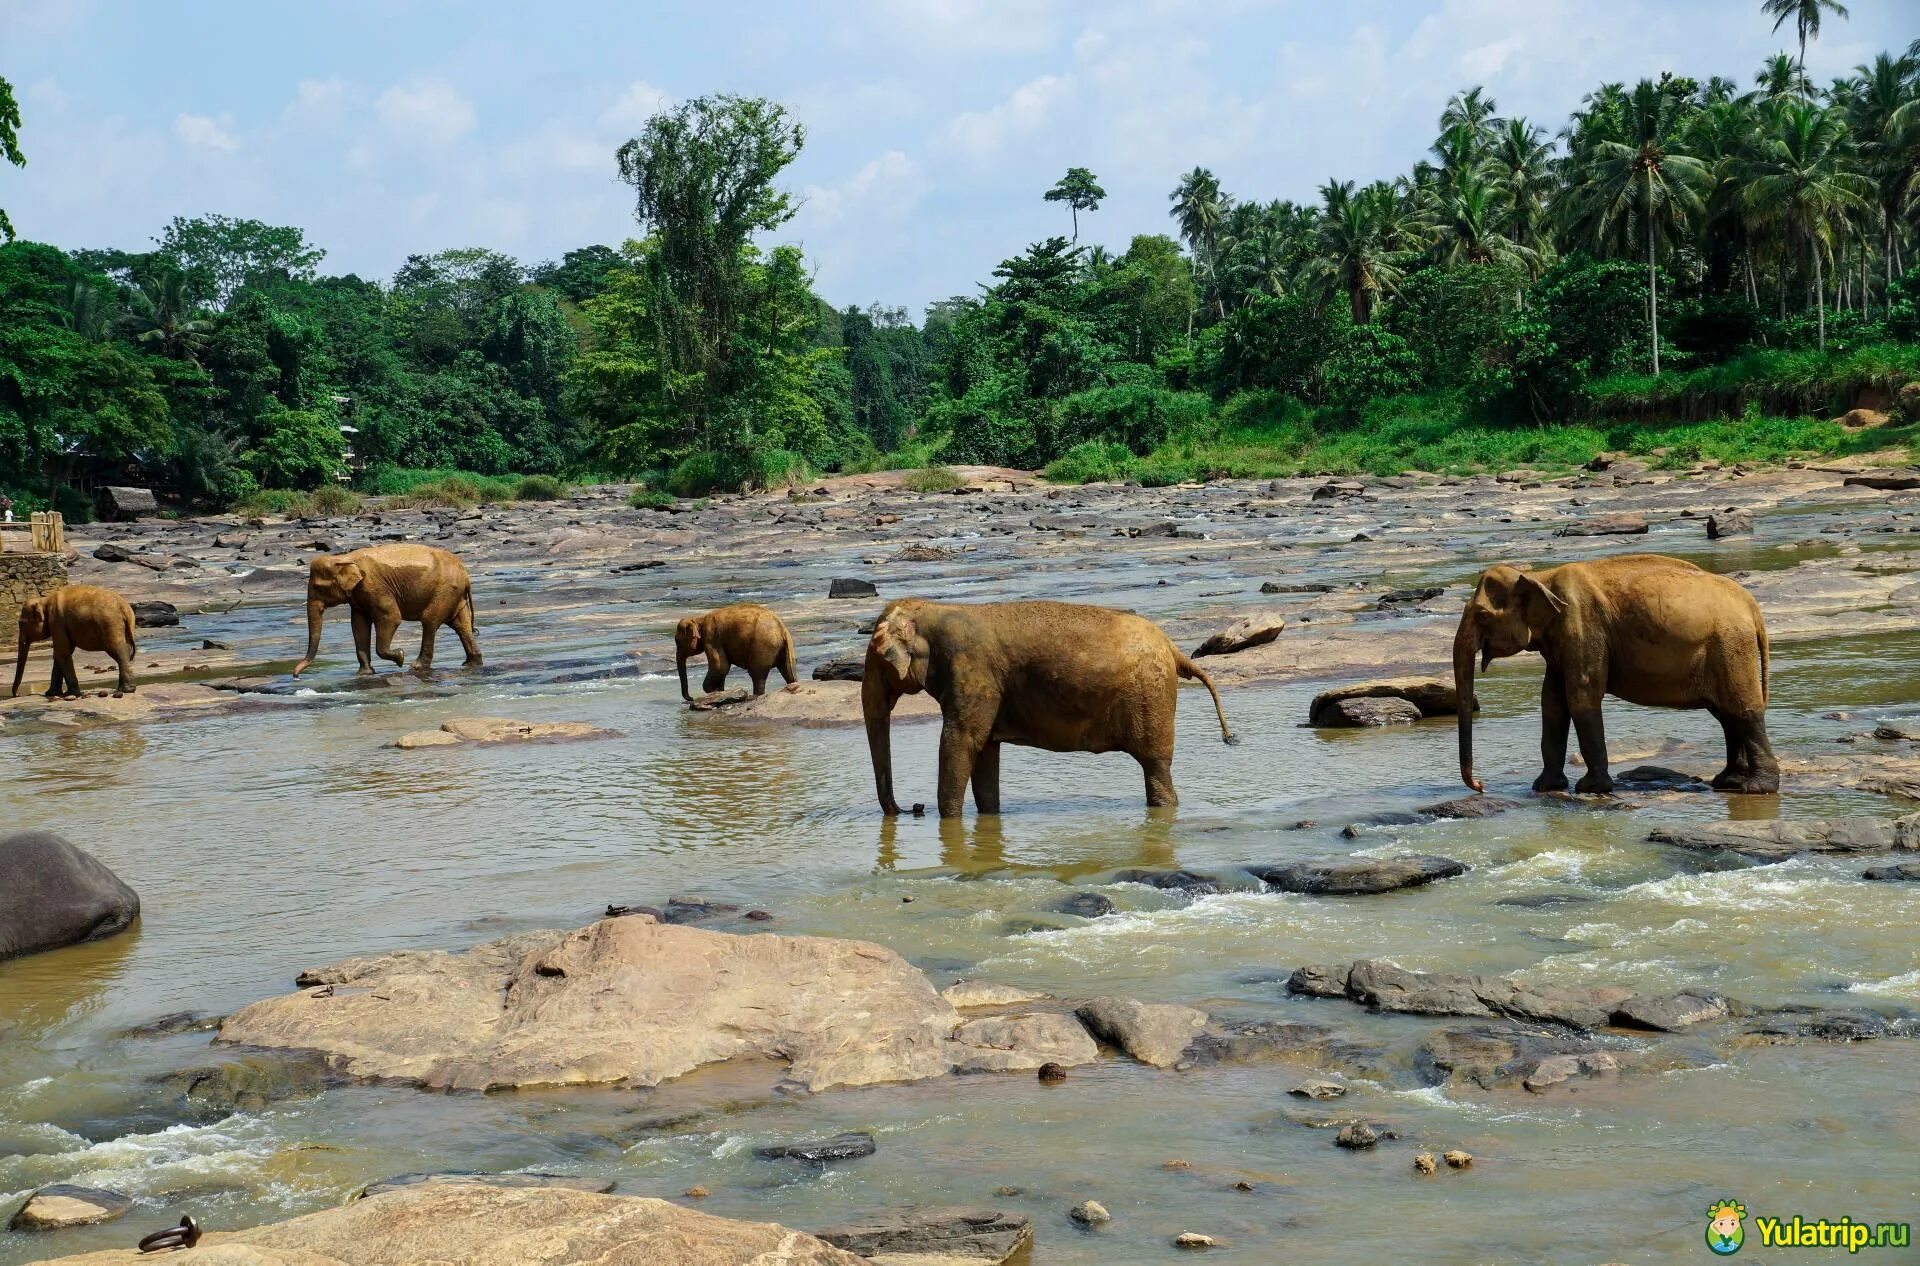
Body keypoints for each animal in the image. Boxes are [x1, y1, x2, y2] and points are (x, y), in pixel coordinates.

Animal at [297, 545, 487, 683]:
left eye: (319, 588)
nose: (296, 675)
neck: (343, 558)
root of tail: (465, 573)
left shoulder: (374, 586)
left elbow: (391, 617)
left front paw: (400, 657)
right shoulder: (358, 594)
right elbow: (358, 625)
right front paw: (363, 674)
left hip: (445, 591)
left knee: (430, 621)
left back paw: (416, 667)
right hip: (454, 594)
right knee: (461, 625)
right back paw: (472, 664)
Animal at [864, 595, 1236, 818]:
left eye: (878, 657)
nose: (913, 808)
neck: (933, 609)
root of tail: (1174, 648)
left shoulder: (973, 673)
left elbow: (960, 741)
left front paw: (950, 824)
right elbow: (984, 750)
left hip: (1150, 697)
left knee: (1156, 766)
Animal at [1451, 553, 1781, 791]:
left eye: (1481, 615)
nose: (1480, 785)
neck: (1540, 577)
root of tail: (1752, 606)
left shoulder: (1583, 625)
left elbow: (1582, 694)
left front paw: (1590, 788)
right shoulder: (1560, 642)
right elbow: (1552, 701)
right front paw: (1544, 787)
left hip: (1730, 646)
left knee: (1742, 710)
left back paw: (1756, 788)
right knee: (1726, 714)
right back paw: (1728, 782)